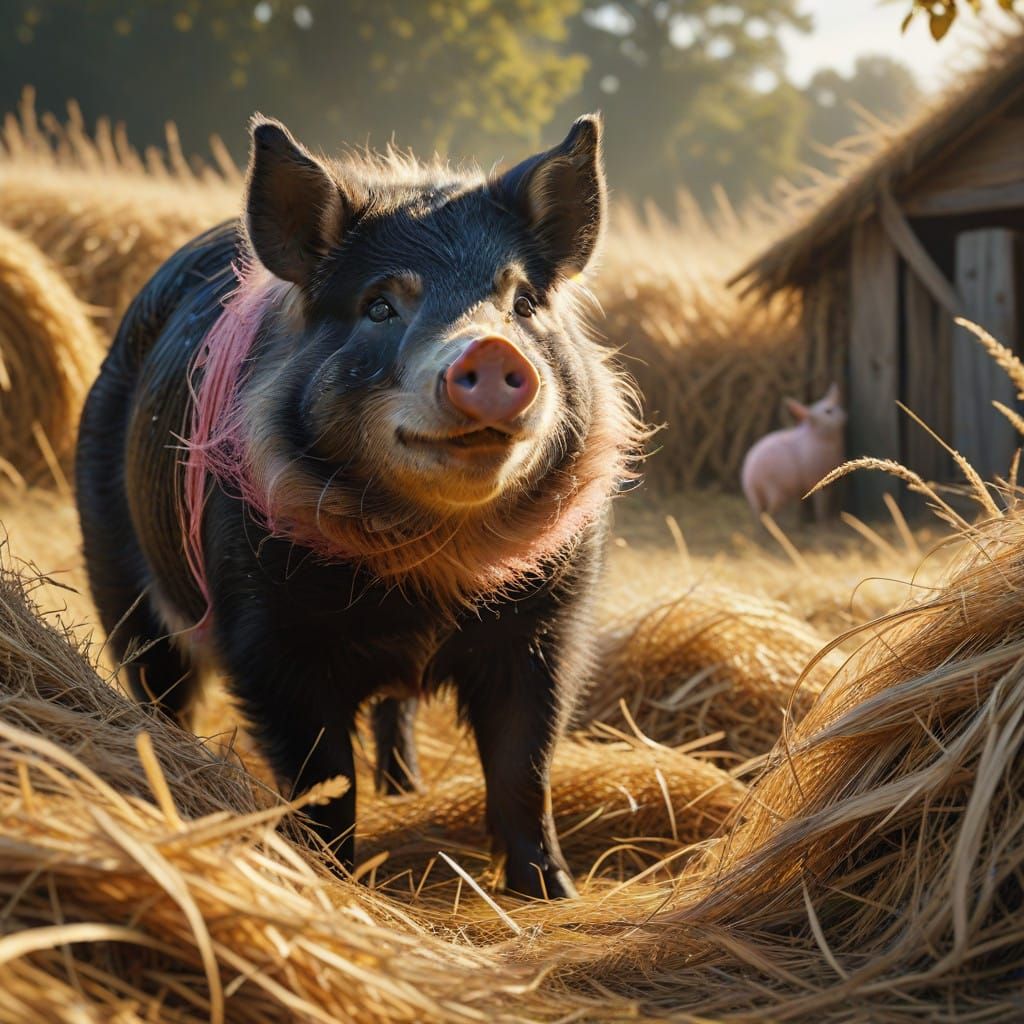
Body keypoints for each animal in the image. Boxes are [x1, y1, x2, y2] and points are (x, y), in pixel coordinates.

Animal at [75, 113, 642, 900]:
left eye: (523, 304)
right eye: (380, 305)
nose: (491, 351)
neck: (436, 560)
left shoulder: (551, 625)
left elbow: (523, 764)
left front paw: (553, 892)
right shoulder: (268, 641)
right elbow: (323, 778)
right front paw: (335, 882)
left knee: (395, 710)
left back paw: (406, 788)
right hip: (120, 581)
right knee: (158, 687)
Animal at [740, 383, 846, 521]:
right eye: (828, 411)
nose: (845, 416)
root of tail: (751, 478)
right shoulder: (814, 478)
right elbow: (820, 503)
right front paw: (822, 520)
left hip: (756, 497)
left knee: (759, 514)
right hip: (775, 491)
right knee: (769, 513)